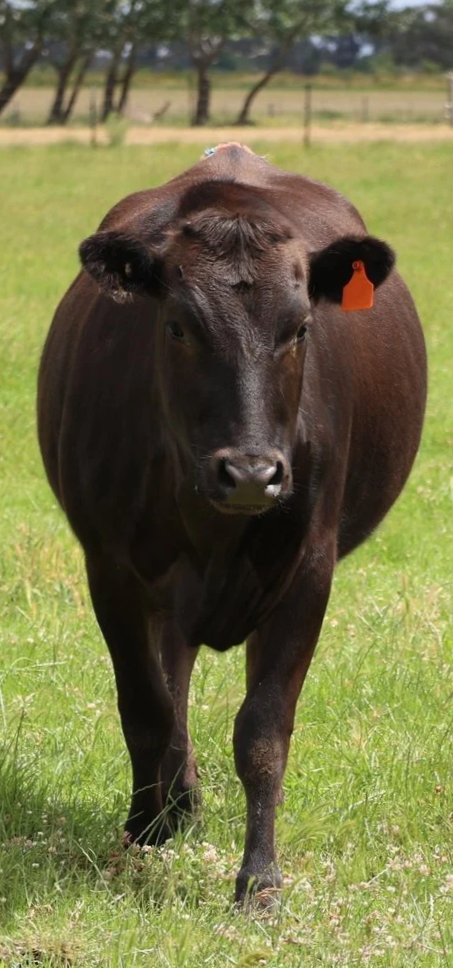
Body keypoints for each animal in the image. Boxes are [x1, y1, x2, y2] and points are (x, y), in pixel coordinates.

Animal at [37, 143, 427, 906]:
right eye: (177, 325)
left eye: (300, 328)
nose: (250, 473)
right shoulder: (110, 567)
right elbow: (146, 707)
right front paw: (144, 833)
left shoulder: (308, 567)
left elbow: (263, 731)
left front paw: (259, 880)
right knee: (172, 677)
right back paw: (174, 805)